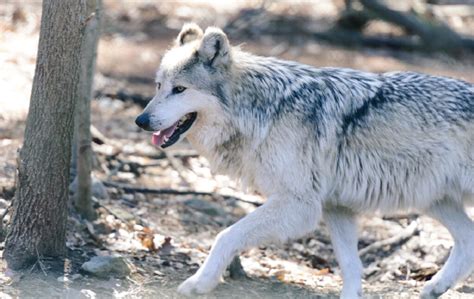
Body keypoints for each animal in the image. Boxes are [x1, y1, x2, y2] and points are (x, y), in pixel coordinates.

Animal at [133, 22, 474, 298]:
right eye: (158, 86)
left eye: (180, 89)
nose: (141, 120)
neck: (263, 110)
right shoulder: (336, 207)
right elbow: (351, 268)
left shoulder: (300, 205)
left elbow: (225, 235)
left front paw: (199, 283)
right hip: (435, 200)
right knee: (468, 240)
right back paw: (435, 287)